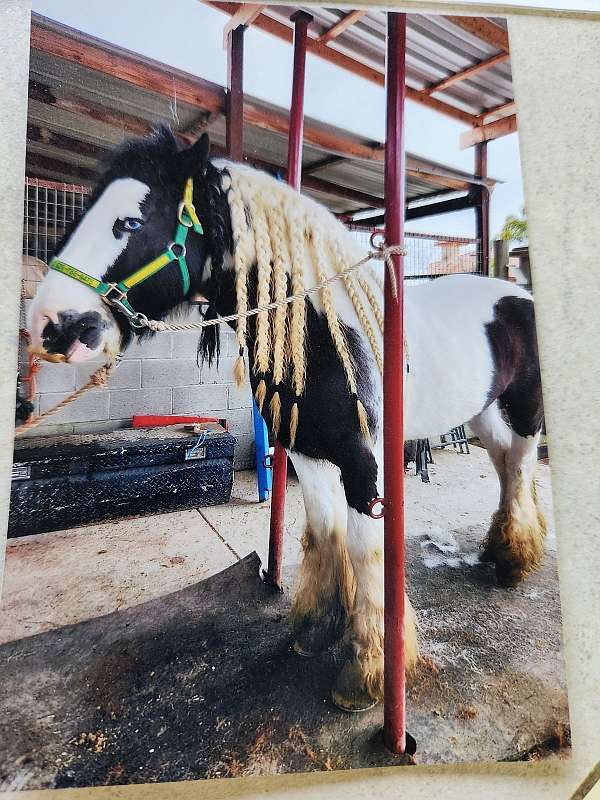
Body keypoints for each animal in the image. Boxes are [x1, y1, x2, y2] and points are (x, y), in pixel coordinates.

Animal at [28, 131, 548, 712]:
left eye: (130, 222)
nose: (48, 325)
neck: (323, 334)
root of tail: (518, 294)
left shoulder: (364, 463)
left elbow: (366, 551)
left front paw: (366, 673)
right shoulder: (306, 452)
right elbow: (324, 533)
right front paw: (319, 628)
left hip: (525, 411)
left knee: (521, 468)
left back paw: (514, 561)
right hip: (482, 412)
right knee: (504, 468)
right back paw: (497, 549)